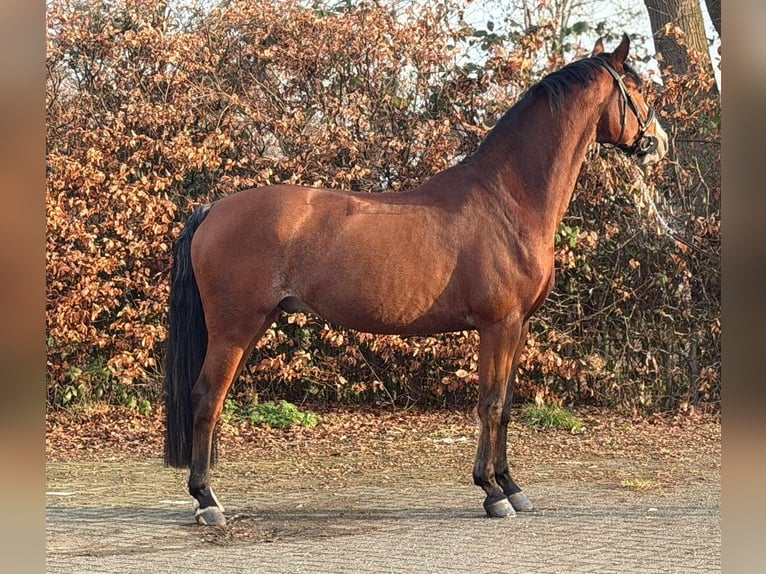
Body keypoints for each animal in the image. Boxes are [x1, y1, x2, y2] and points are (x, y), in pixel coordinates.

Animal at [164, 34, 668, 526]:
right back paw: (207, 502)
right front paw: (491, 493)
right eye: (637, 87)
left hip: (255, 324)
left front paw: (512, 487)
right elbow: (490, 404)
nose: (659, 142)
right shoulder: (498, 325)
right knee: (206, 398)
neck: (508, 200)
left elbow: (505, 407)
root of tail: (213, 209)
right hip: (234, 328)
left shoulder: (520, 326)